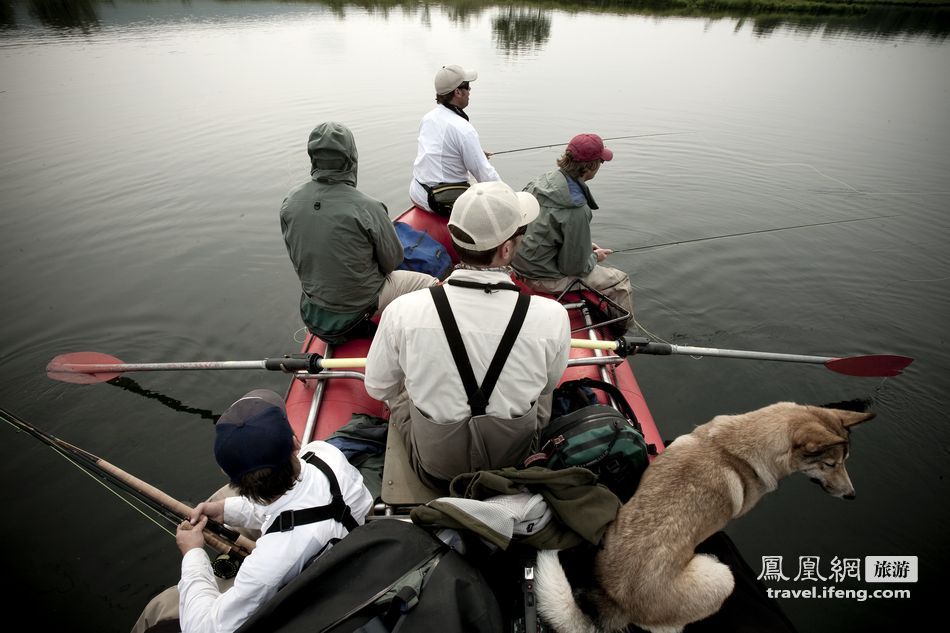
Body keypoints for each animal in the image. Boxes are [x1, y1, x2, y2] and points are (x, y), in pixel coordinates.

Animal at [536, 402, 876, 628]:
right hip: (723, 577)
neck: (735, 445)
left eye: (845, 461)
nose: (852, 495)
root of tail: (614, 602)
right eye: (830, 464)